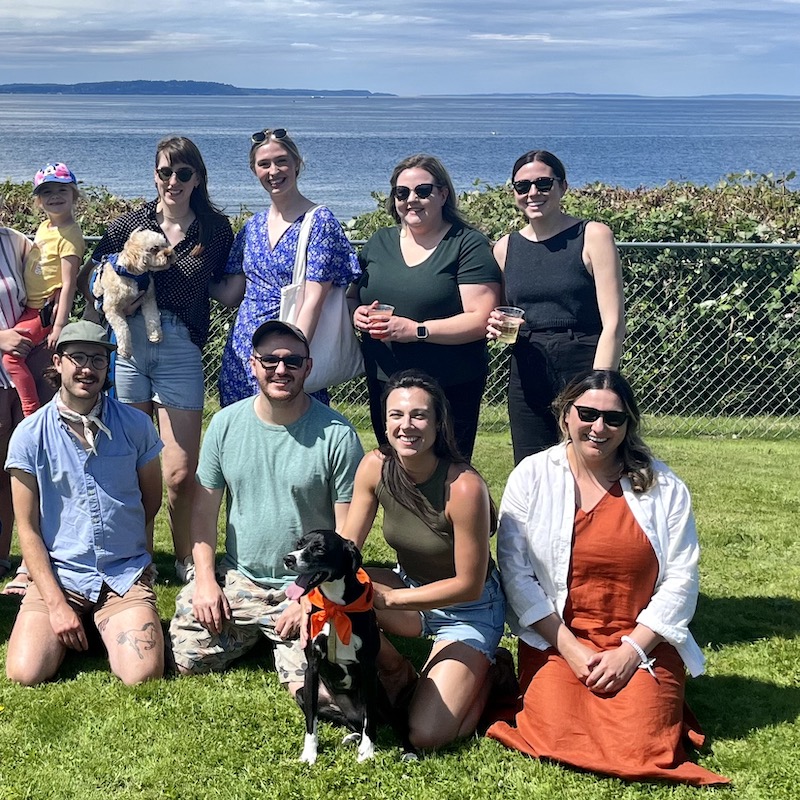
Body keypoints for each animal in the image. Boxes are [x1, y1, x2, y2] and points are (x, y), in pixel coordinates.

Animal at [94, 230, 175, 358]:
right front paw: (125, 350)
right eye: (154, 248)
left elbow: (153, 317)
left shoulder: (148, 298)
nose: (169, 254)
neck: (133, 275)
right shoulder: (112, 309)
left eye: (165, 244)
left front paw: (155, 335)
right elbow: (123, 328)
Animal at [282, 532, 380, 764]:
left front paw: (367, 750)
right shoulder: (312, 668)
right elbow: (311, 721)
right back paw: (352, 736)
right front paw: (309, 755)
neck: (336, 607)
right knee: (350, 722)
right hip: (303, 693)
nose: (288, 559)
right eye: (299, 543)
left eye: (319, 549)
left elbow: (370, 719)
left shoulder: (368, 669)